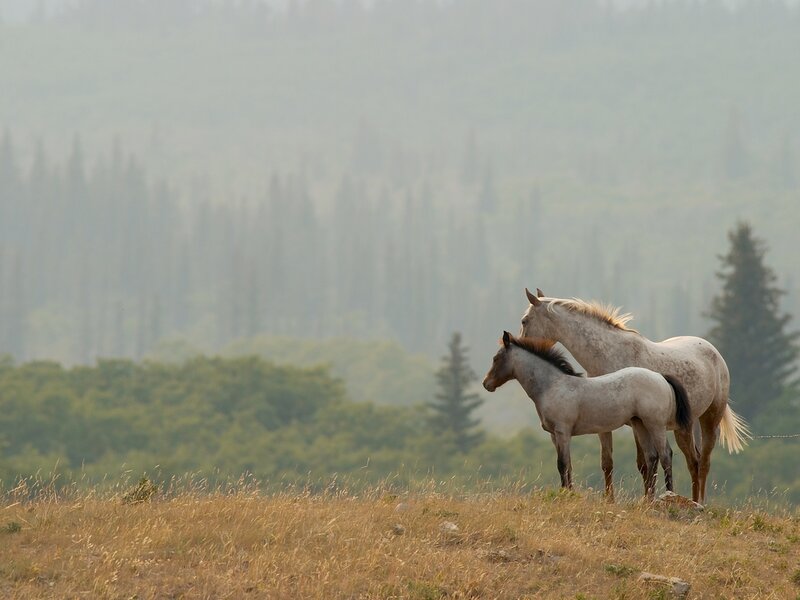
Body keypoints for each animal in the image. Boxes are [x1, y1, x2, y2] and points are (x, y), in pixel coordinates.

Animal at [482, 331, 693, 498]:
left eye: (495, 359)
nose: (486, 384)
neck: (552, 385)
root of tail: (660, 377)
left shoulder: (562, 432)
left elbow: (562, 464)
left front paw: (566, 495)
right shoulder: (554, 436)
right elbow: (567, 465)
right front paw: (568, 492)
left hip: (655, 425)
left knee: (665, 455)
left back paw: (669, 496)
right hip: (640, 424)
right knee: (651, 457)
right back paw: (647, 500)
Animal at [520, 288, 750, 504]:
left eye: (524, 320)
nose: (520, 344)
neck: (611, 354)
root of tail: (714, 352)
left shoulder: (637, 423)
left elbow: (645, 463)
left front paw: (648, 498)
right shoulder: (606, 424)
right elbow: (608, 462)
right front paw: (610, 499)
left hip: (709, 420)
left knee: (701, 463)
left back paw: (698, 502)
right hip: (683, 427)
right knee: (693, 461)